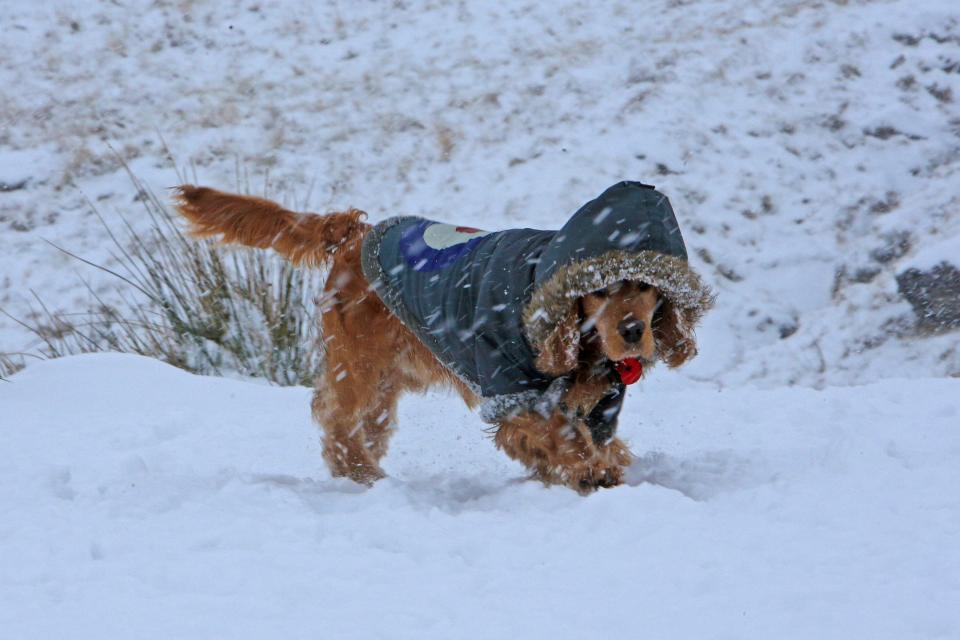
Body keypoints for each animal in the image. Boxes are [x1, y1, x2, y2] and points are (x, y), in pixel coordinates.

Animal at [174, 182, 712, 492]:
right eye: (599, 290)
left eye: (646, 287)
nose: (633, 331)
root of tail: (353, 234)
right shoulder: (511, 395)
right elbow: (561, 435)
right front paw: (587, 471)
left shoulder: (598, 405)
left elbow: (592, 437)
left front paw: (601, 464)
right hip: (358, 367)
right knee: (334, 421)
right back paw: (363, 476)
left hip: (385, 381)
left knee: (362, 426)